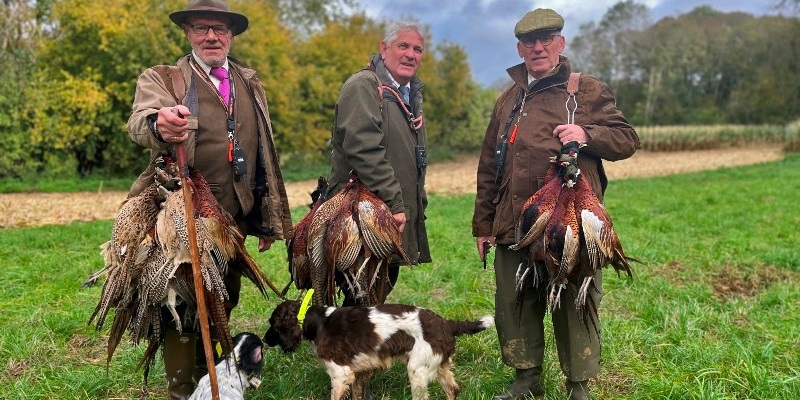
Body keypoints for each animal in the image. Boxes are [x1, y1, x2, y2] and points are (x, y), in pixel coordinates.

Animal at [262, 300, 494, 400]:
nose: (263, 340)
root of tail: (446, 323)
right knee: (453, 390)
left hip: (417, 371)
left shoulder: (341, 374)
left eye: (272, 324)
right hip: (439, 367)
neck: (317, 322)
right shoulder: (358, 373)